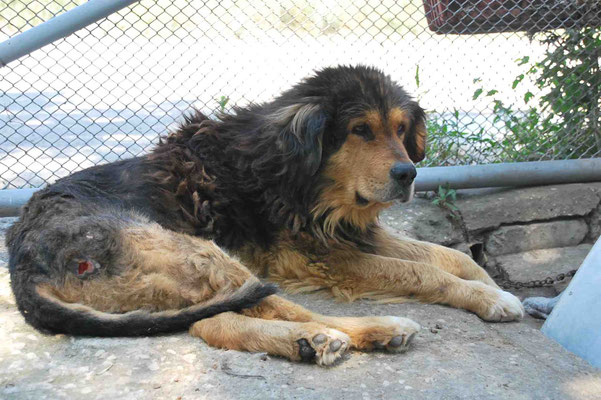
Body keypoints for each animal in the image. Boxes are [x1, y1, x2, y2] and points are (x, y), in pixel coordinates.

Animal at [5, 65, 520, 366]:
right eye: (360, 130)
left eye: (399, 128)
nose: (408, 174)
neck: (294, 172)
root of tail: (23, 266)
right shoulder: (320, 257)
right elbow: (422, 272)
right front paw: (489, 299)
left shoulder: (347, 232)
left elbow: (450, 257)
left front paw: (488, 285)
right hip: (199, 251)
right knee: (275, 309)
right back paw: (362, 332)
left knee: (212, 324)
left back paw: (308, 343)